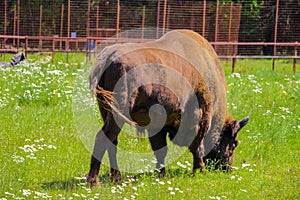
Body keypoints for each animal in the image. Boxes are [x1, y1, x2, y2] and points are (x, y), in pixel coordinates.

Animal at [86, 29, 248, 186]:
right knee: (103, 137)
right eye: (234, 143)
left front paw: (161, 174)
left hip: (105, 110)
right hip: (119, 111)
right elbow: (197, 146)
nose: (227, 168)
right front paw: (199, 171)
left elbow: (160, 149)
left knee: (112, 142)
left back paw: (116, 178)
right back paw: (94, 182)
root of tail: (108, 56)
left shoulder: (157, 125)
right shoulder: (200, 117)